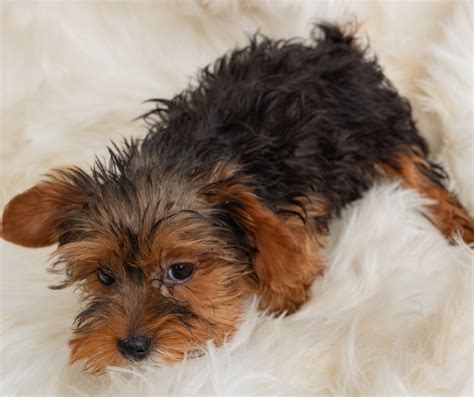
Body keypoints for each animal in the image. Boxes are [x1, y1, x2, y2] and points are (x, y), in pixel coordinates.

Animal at [1, 24, 472, 372]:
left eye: (181, 270)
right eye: (104, 276)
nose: (132, 348)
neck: (186, 155)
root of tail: (332, 46)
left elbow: (286, 253)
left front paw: (285, 293)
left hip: (378, 124)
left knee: (416, 170)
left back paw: (458, 228)